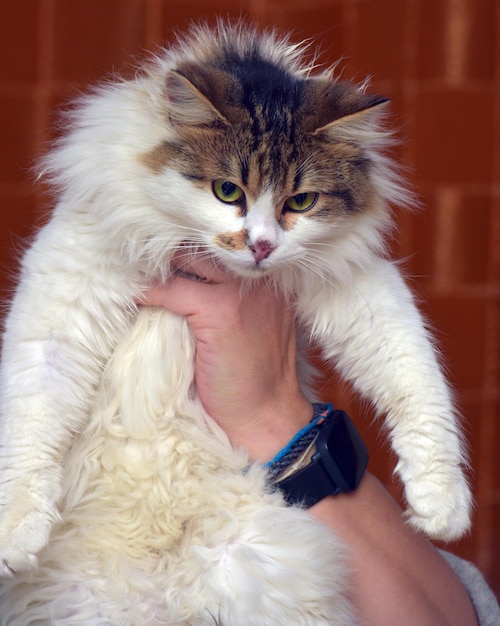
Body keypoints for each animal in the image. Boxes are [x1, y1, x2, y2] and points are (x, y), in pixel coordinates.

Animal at [0, 20, 470, 624]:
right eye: (228, 191)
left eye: (301, 201)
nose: (262, 246)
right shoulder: (70, 290)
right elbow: (32, 418)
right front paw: (16, 534)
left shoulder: (357, 286)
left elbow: (417, 377)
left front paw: (442, 504)